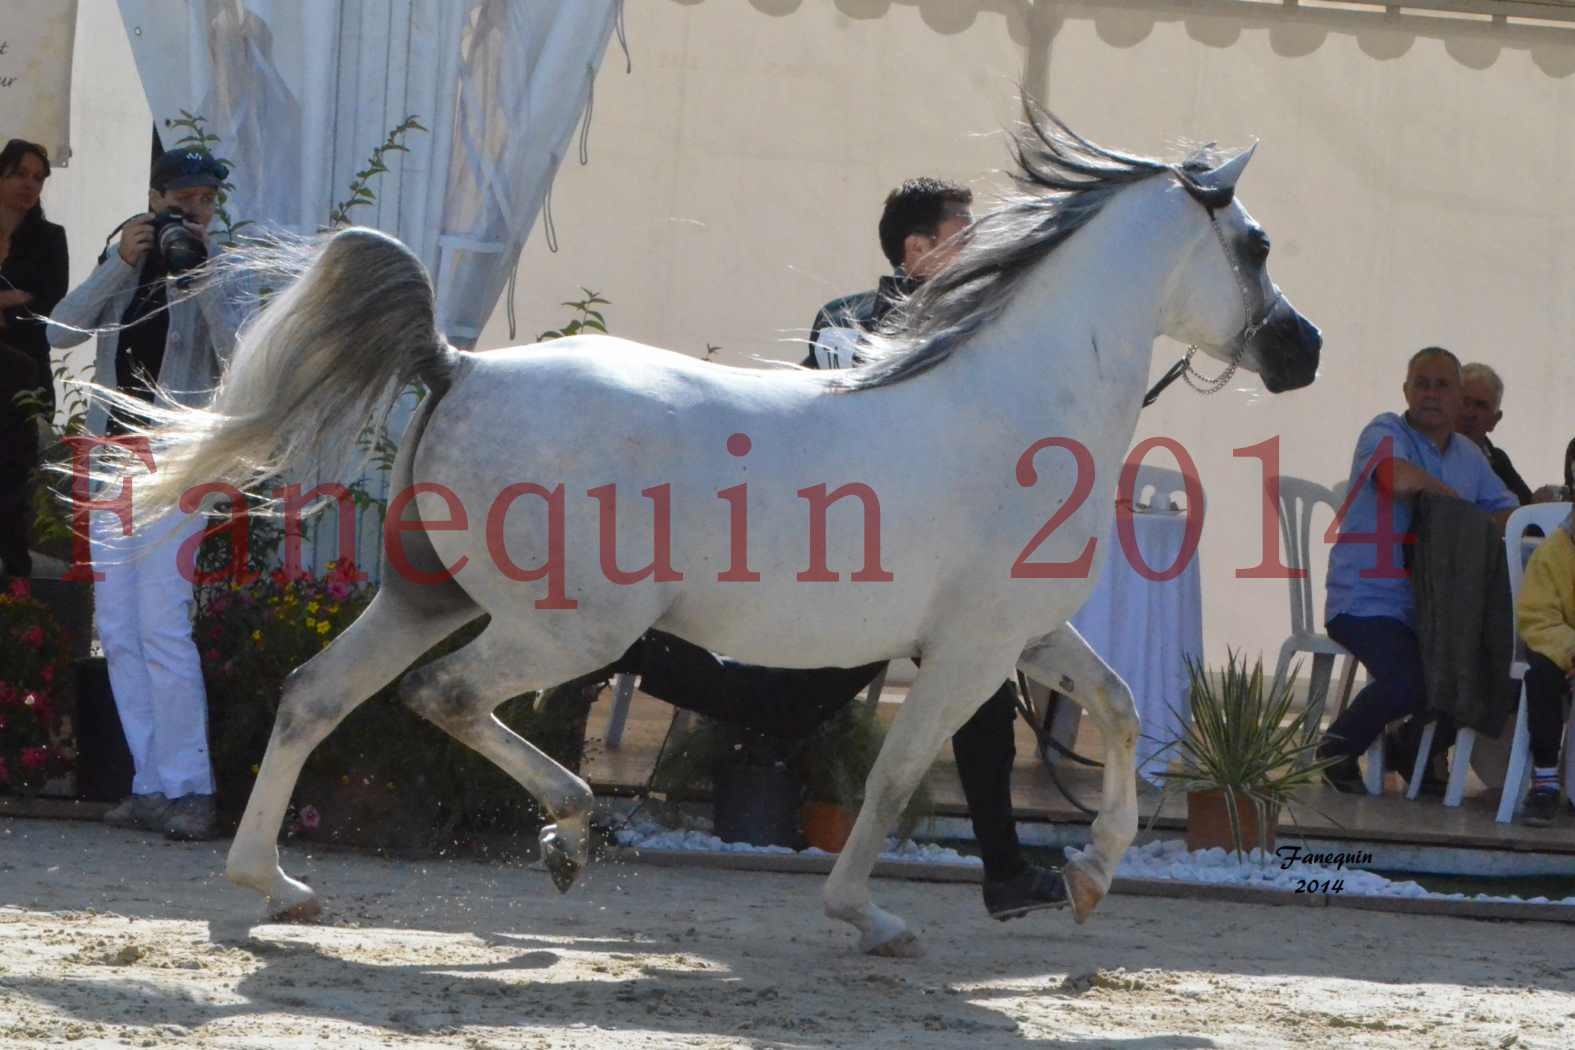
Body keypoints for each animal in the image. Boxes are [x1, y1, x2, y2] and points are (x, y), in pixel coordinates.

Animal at [111, 110, 1316, 957]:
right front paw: (869, 919)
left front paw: (1092, 875)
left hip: (426, 597)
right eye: (1255, 244)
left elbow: (1114, 708)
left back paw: (275, 888)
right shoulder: (970, 654)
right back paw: (566, 833)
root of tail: (464, 365)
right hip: (570, 631)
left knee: (313, 695)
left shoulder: (1019, 637)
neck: (1017, 401)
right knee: (443, 697)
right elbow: (898, 779)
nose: (1302, 350)